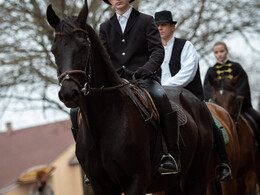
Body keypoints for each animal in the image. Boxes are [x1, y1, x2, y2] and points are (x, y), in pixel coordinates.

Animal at [45, 1, 214, 193]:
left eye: (83, 46)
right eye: (54, 50)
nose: (68, 93)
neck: (103, 121)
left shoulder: (136, 179)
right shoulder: (99, 184)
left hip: (197, 174)